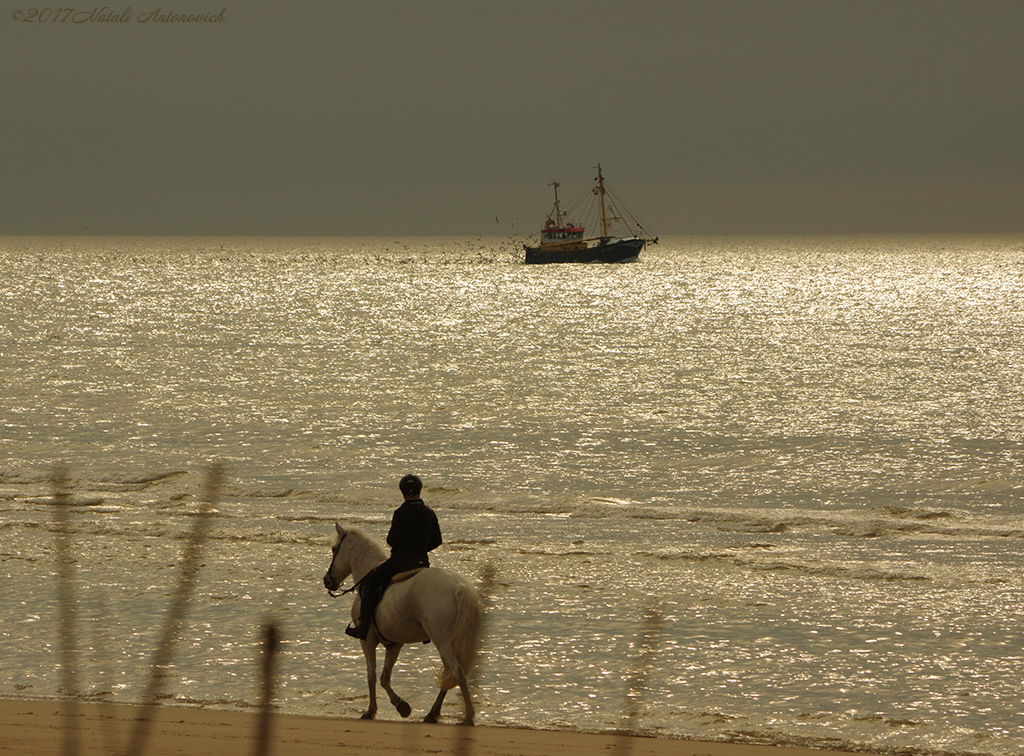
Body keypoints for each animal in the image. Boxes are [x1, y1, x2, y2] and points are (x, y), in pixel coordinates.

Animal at [323, 520, 483, 721]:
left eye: (334, 548)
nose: (327, 581)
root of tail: (458, 585)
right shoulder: (394, 644)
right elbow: (384, 678)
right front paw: (402, 706)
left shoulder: (367, 640)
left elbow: (371, 675)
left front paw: (371, 710)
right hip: (452, 643)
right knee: (449, 674)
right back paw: (433, 713)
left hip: (443, 642)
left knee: (456, 672)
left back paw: (467, 716)